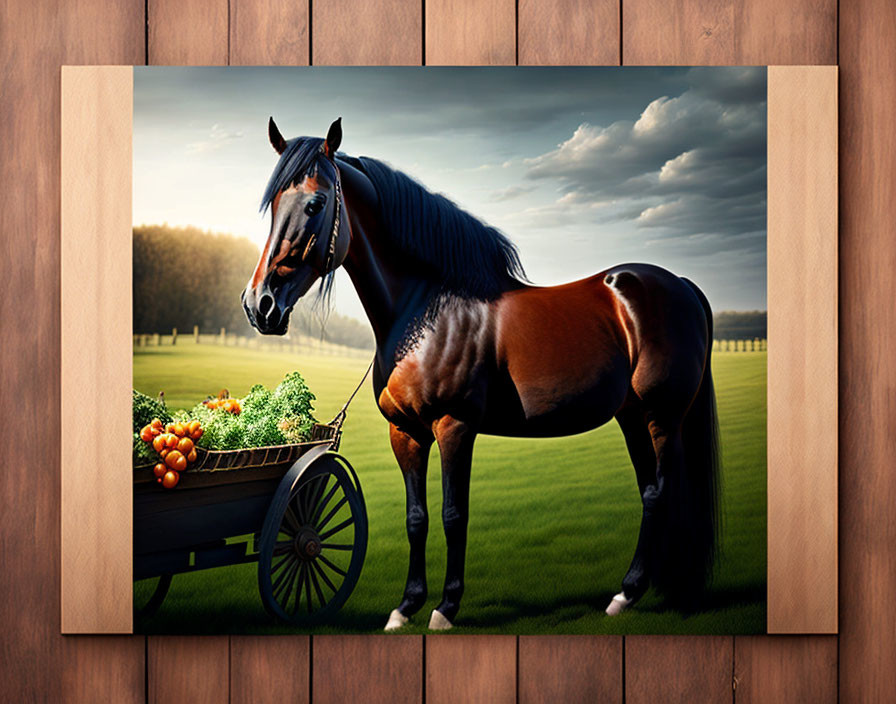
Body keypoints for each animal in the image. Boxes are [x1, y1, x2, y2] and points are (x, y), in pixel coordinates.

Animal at [240, 118, 720, 628]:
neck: (427, 310)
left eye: (315, 203)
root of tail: (680, 285)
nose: (260, 305)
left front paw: (446, 607)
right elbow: (416, 517)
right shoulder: (405, 432)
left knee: (661, 494)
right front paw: (406, 606)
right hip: (632, 417)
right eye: (274, 205)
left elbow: (454, 514)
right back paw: (629, 593)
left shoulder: (455, 426)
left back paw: (631, 593)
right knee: (650, 491)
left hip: (662, 416)